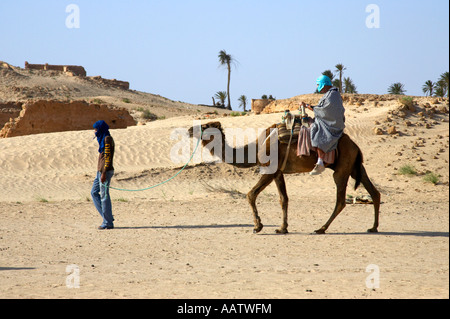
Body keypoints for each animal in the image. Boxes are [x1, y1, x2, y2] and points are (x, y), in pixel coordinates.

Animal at [187, 120, 380, 235]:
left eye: (205, 126)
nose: (189, 129)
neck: (256, 147)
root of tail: (356, 145)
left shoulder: (270, 170)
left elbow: (250, 194)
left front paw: (257, 226)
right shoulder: (278, 172)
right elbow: (283, 199)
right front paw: (282, 228)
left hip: (341, 168)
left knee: (340, 200)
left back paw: (321, 228)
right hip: (355, 166)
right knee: (374, 192)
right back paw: (373, 227)